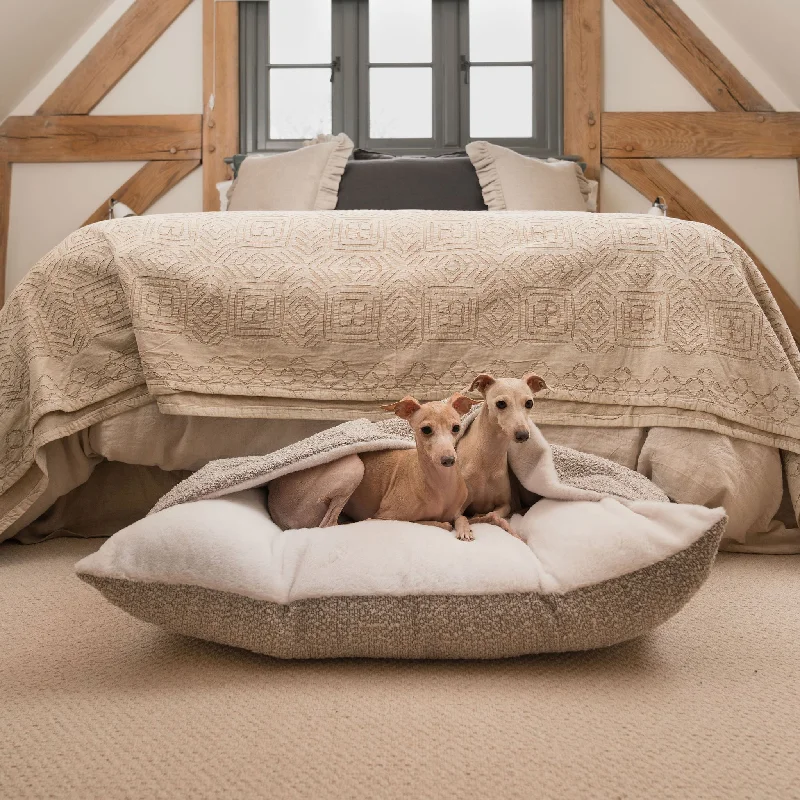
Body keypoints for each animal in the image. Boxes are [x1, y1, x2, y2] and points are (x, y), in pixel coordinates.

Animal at [268, 374, 552, 536]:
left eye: (456, 428)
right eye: (425, 429)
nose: (449, 460)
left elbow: (470, 517)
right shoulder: (386, 515)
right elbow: (432, 522)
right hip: (352, 466)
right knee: (329, 525)